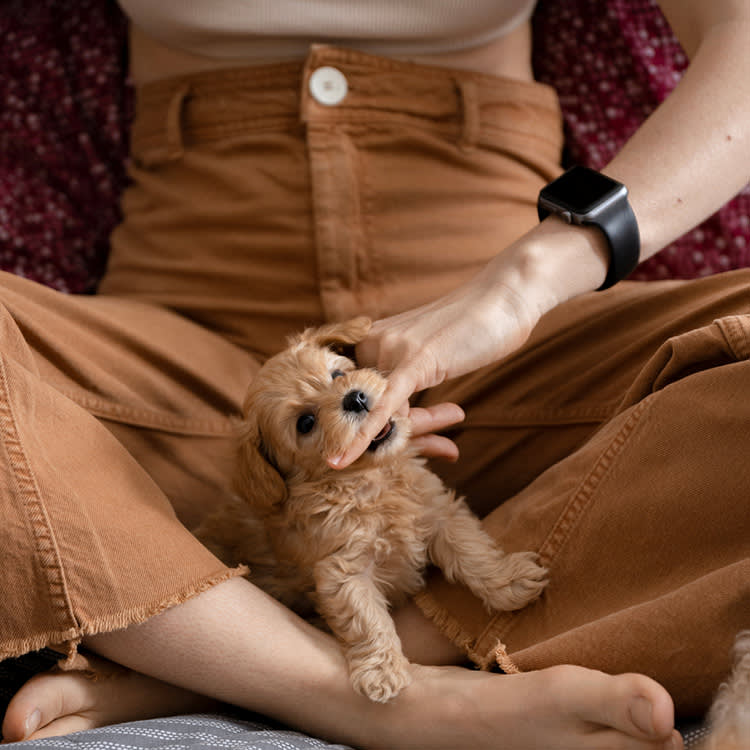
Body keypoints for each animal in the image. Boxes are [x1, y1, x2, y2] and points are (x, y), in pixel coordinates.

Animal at [195, 318, 548, 704]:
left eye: (337, 374)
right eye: (306, 423)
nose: (355, 398)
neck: (369, 483)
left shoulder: (439, 511)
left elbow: (471, 551)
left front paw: (510, 582)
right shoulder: (343, 570)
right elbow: (366, 618)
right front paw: (382, 671)